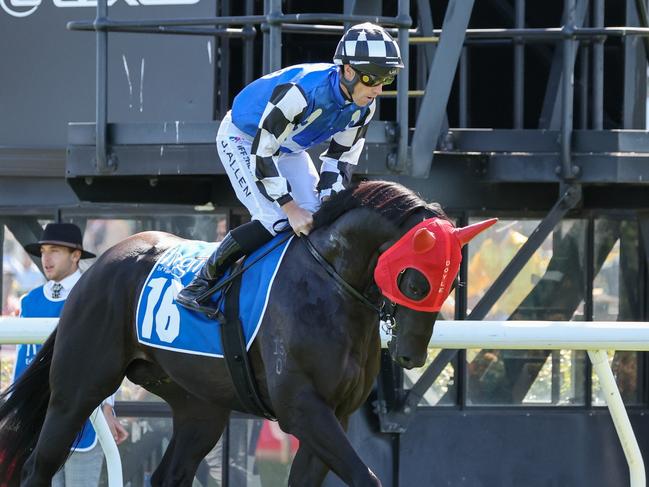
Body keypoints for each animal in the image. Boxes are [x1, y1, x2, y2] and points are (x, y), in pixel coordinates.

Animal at [0, 180, 488, 487]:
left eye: (452, 284)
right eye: (415, 282)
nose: (411, 356)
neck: (328, 283)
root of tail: (98, 266)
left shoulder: (335, 413)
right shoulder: (302, 409)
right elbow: (364, 477)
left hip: (199, 408)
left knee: (170, 474)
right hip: (78, 388)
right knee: (37, 467)